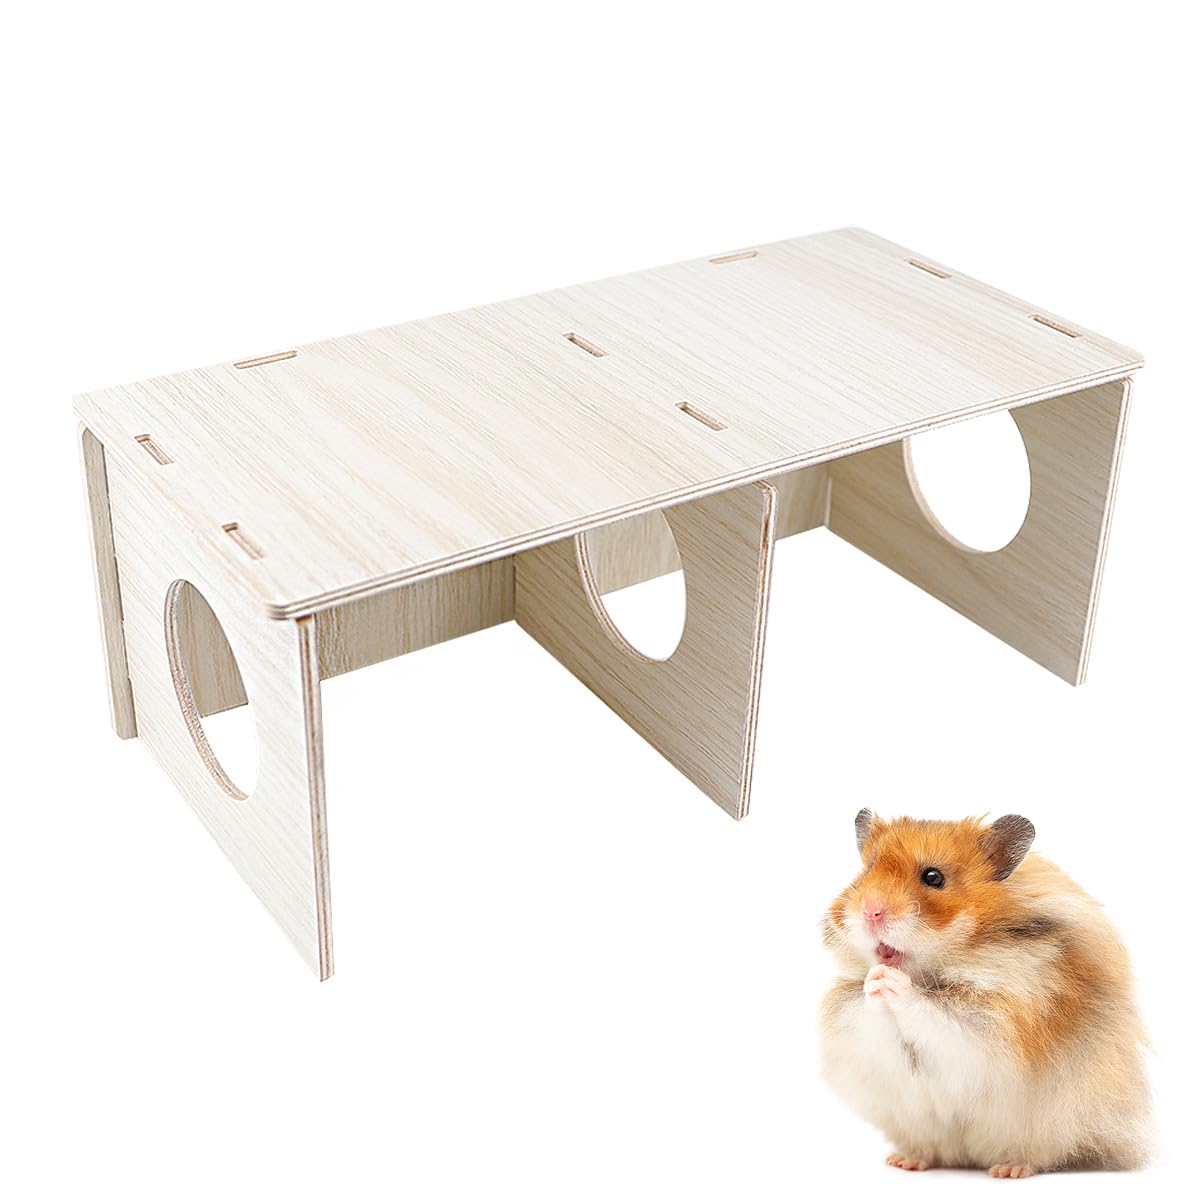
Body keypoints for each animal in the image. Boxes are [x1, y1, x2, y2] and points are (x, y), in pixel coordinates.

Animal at [819, 810, 1150, 1179]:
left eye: (933, 877)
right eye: (866, 872)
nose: (870, 912)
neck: (932, 969)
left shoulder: (990, 1024)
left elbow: (931, 1012)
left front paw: (891, 980)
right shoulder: (856, 1038)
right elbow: (869, 1016)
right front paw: (873, 980)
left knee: (1041, 1154)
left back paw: (1008, 1169)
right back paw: (905, 1161)